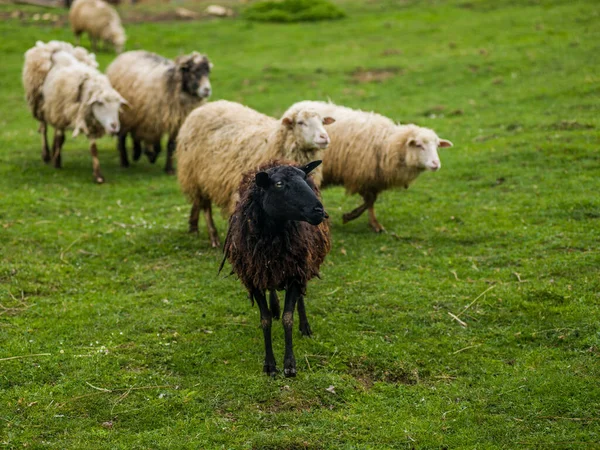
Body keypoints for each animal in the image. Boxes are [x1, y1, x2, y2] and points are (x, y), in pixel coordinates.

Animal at [28, 48, 127, 183]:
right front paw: (57, 163)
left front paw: (98, 175)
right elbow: (60, 138)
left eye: (118, 106)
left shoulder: (89, 121)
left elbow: (93, 148)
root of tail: (58, 52)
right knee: (44, 129)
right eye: (100, 103)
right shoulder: (61, 114)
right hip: (43, 106)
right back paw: (47, 154)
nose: (114, 126)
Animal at [176, 100, 336, 248]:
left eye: (322, 121)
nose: (324, 137)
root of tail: (206, 105)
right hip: (196, 176)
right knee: (206, 207)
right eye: (301, 123)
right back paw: (213, 237)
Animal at [220, 161, 332, 376]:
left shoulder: (295, 273)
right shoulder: (254, 277)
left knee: (299, 299)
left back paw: (304, 326)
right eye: (279, 184)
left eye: (303, 179)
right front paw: (270, 365)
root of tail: (273, 161)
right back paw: (275, 307)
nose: (319, 211)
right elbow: (265, 320)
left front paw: (289, 364)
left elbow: (288, 318)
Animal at [288, 101, 452, 232]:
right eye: (419, 145)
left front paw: (372, 223)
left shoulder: (373, 180)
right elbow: (369, 200)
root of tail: (299, 104)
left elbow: (371, 202)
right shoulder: (361, 176)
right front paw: (352, 217)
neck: (388, 144)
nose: (436, 164)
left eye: (437, 146)